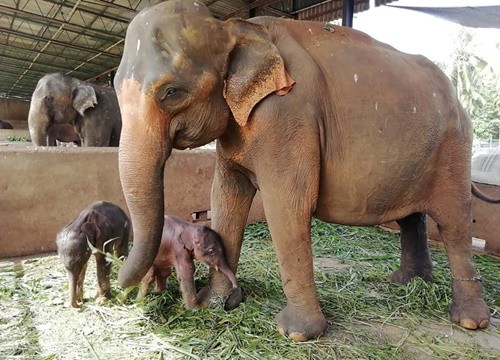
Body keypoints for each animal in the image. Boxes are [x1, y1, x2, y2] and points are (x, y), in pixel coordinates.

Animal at [55, 201, 235, 308]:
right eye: (211, 251)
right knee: (149, 272)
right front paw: (194, 309)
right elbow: (185, 273)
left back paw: (156, 293)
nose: (235, 287)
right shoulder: (179, 250)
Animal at [114, 0, 496, 342]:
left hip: (453, 147)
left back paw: (469, 322)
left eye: (171, 92)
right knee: (411, 217)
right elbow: (225, 198)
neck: (234, 27)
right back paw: (406, 283)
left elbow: (287, 205)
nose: (117, 290)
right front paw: (217, 305)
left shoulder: (287, 114)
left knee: (455, 222)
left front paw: (296, 333)